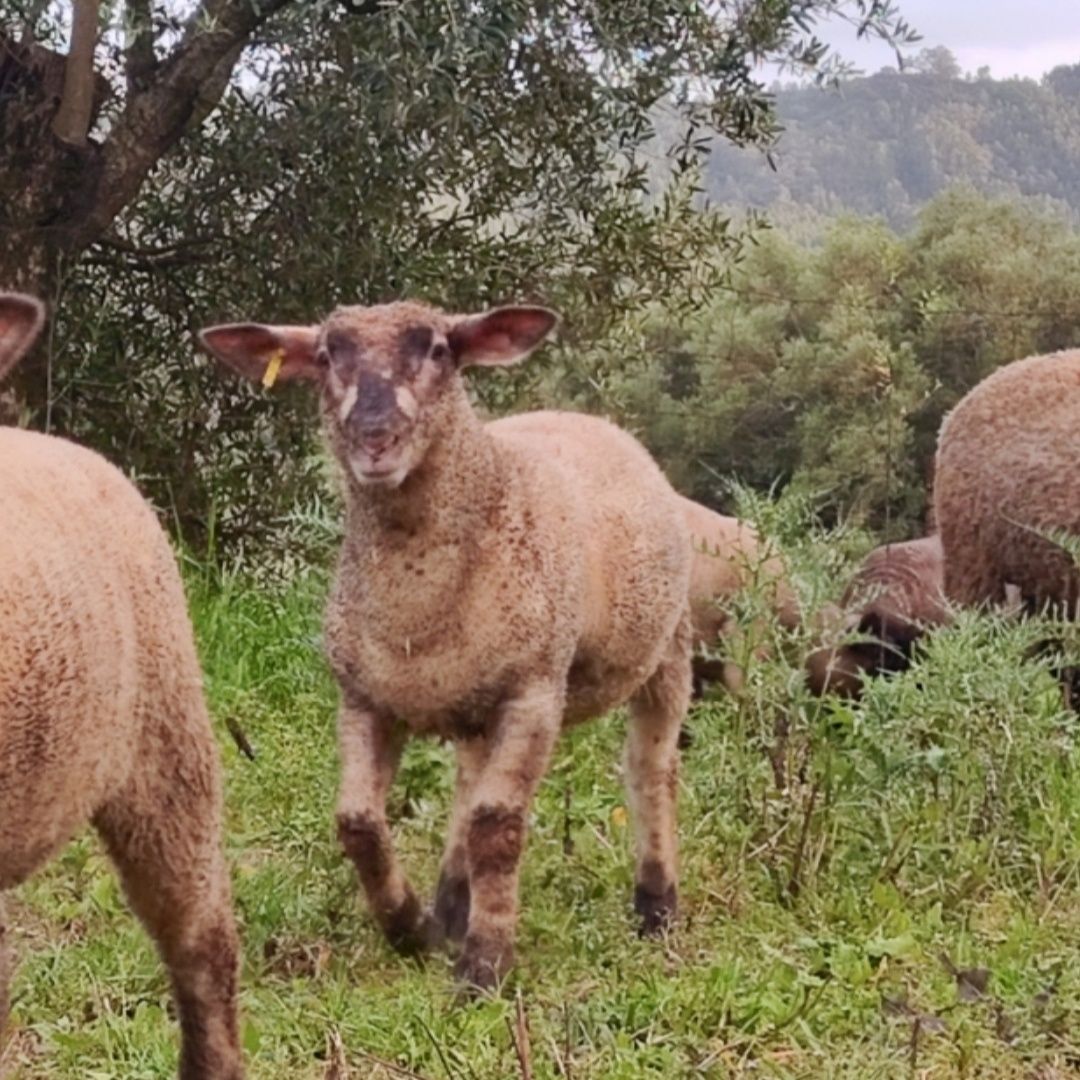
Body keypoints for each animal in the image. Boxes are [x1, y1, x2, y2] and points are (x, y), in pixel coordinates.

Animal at [200, 300, 691, 989]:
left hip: (667, 649)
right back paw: (452, 903)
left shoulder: (534, 692)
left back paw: (655, 906)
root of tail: (594, 422)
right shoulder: (364, 698)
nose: (374, 437)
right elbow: (359, 823)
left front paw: (485, 965)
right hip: (474, 704)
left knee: (650, 768)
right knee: (466, 786)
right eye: (324, 357)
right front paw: (409, 926)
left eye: (438, 350)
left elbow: (497, 825)